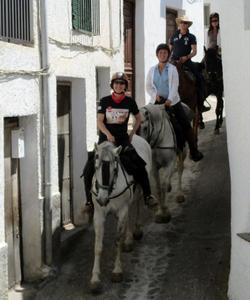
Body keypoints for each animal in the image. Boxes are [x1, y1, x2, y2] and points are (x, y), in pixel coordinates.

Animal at [90, 134, 151, 292]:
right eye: (96, 166)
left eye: (114, 169)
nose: (102, 199)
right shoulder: (98, 215)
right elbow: (97, 246)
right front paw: (95, 279)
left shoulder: (121, 210)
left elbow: (117, 241)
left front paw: (117, 271)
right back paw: (128, 241)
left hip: (138, 190)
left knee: (136, 205)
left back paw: (135, 233)